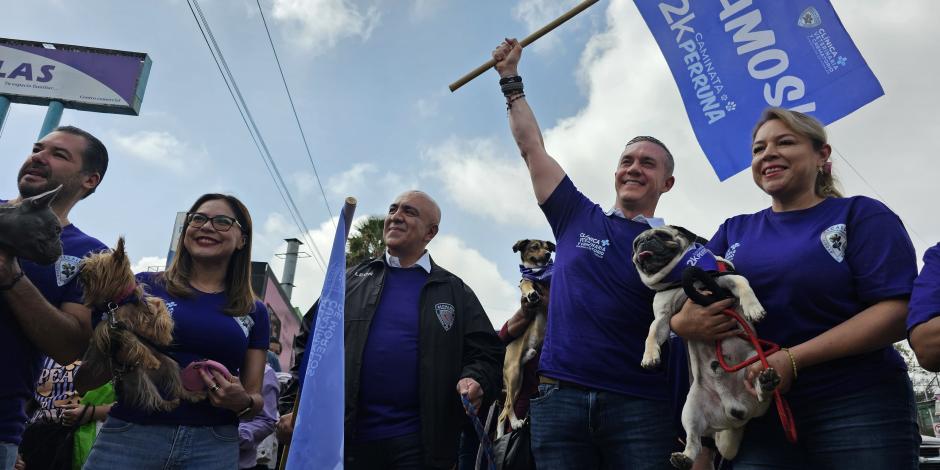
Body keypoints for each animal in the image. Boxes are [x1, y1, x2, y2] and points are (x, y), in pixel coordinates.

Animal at [76, 239, 205, 412]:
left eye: (97, 264)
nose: (80, 268)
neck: (121, 300)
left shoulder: (150, 303)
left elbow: (162, 311)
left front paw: (164, 336)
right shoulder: (112, 327)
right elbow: (131, 339)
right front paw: (150, 359)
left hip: (170, 363)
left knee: (176, 384)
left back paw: (191, 395)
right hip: (139, 375)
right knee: (151, 395)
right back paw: (167, 402)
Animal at [500, 239, 560, 436]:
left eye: (548, 248)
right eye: (534, 247)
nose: (548, 255)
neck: (538, 272)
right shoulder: (526, 281)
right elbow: (526, 284)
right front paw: (531, 293)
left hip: (518, 381)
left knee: (502, 412)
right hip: (513, 374)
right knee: (507, 406)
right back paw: (516, 423)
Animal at [632, 226, 780, 468]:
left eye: (662, 236)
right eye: (636, 245)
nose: (644, 242)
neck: (679, 275)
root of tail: (734, 415)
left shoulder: (726, 279)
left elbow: (743, 284)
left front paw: (753, 308)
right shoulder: (663, 316)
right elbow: (652, 333)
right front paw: (650, 356)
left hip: (757, 361)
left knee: (762, 395)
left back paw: (766, 383)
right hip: (690, 411)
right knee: (695, 442)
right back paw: (684, 458)